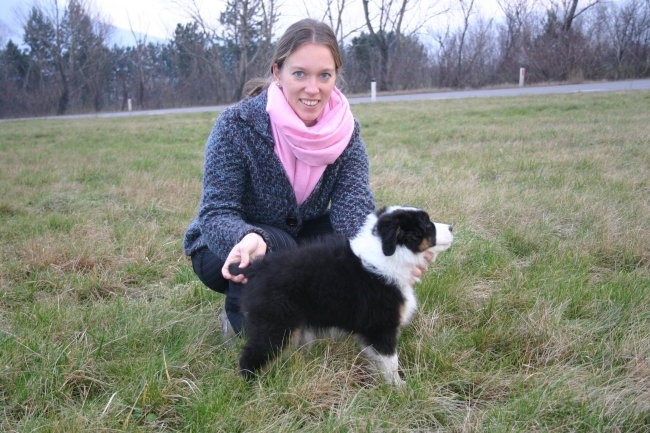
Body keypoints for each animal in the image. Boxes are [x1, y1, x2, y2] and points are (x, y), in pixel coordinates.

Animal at [232, 206, 450, 384]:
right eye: (427, 224)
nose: (451, 227)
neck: (390, 253)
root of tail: (255, 268)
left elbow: (377, 358)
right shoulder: (382, 326)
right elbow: (390, 361)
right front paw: (398, 388)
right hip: (275, 324)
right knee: (252, 355)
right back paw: (252, 387)